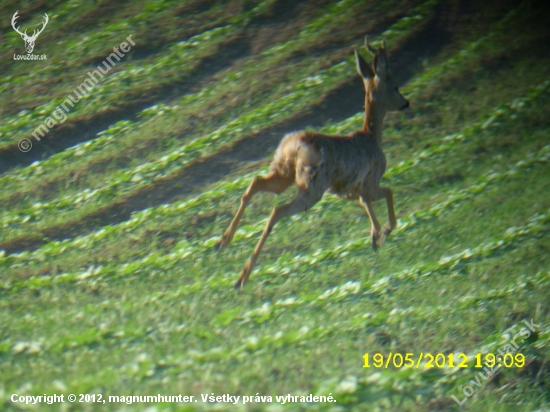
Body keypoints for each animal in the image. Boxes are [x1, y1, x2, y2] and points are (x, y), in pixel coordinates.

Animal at [216, 37, 410, 290]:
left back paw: (222, 243)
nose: (406, 103)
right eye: (395, 85)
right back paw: (241, 278)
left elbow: (365, 203)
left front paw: (375, 237)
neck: (372, 136)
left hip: (284, 172)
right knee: (277, 210)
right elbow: (388, 192)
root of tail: (296, 145)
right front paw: (383, 233)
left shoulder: (351, 190)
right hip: (312, 185)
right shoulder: (370, 181)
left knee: (256, 183)